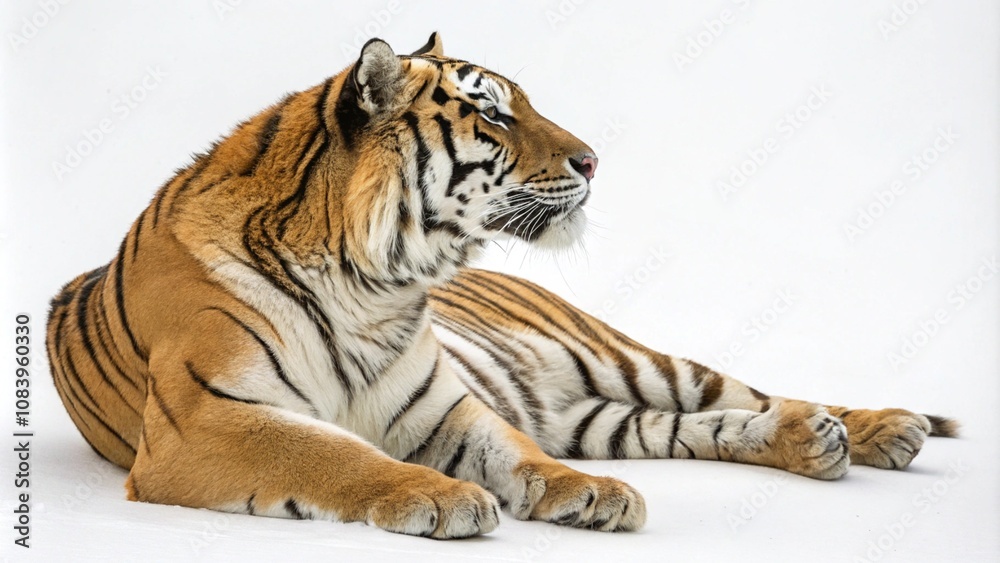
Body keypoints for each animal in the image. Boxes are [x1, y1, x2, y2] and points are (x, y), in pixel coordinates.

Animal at [46, 32, 957, 539]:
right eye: (491, 114)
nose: (593, 160)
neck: (373, 284)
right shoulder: (205, 419)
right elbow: (330, 453)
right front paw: (441, 496)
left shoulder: (441, 403)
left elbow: (513, 451)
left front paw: (586, 494)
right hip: (595, 412)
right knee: (690, 424)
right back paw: (822, 442)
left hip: (626, 358)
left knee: (749, 392)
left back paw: (876, 428)